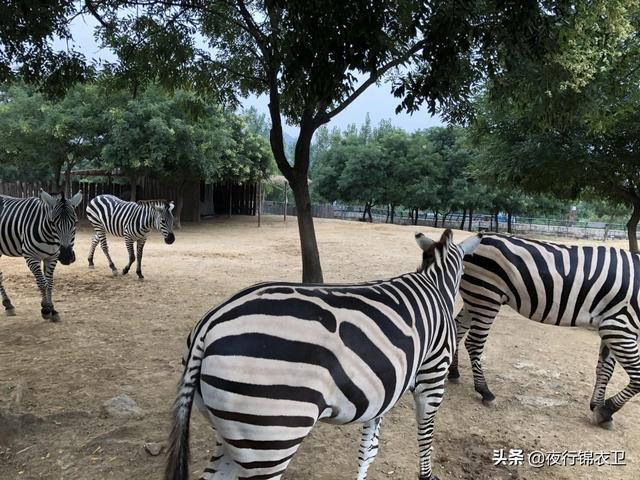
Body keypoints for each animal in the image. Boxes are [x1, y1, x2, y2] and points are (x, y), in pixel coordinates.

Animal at [0, 189, 83, 320]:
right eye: (53, 222)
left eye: (75, 222)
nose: (66, 257)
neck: (49, 237)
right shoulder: (31, 257)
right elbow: (42, 282)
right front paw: (45, 308)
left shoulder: (52, 257)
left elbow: (49, 283)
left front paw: (53, 309)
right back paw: (8, 305)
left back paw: (8, 304)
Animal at [165, 229, 480, 480]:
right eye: (466, 274)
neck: (435, 283)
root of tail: (210, 323)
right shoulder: (432, 376)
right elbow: (425, 433)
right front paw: (426, 475)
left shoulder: (384, 390)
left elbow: (369, 448)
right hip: (271, 436)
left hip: (231, 431)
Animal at [450, 234, 640, 426]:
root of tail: (467, 244)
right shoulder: (618, 327)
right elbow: (636, 377)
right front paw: (605, 411)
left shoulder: (611, 327)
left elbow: (605, 370)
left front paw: (596, 405)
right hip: (486, 296)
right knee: (473, 343)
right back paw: (484, 391)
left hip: (475, 298)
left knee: (457, 329)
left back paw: (453, 372)